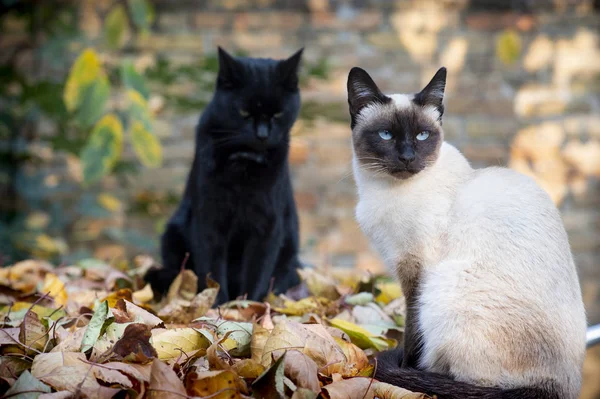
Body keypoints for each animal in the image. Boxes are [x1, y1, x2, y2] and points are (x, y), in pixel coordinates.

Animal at [144, 47, 304, 304]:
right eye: (244, 112)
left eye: (278, 114)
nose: (262, 134)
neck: (244, 165)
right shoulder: (209, 219)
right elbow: (212, 269)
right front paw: (216, 303)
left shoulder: (268, 224)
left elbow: (258, 269)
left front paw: (248, 304)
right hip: (172, 234)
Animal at [346, 67, 584, 398]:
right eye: (386, 135)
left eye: (422, 136)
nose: (407, 157)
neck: (382, 191)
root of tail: (562, 386)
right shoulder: (406, 265)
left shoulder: (416, 269)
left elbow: (411, 330)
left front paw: (406, 367)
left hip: (446, 287)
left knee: (468, 381)